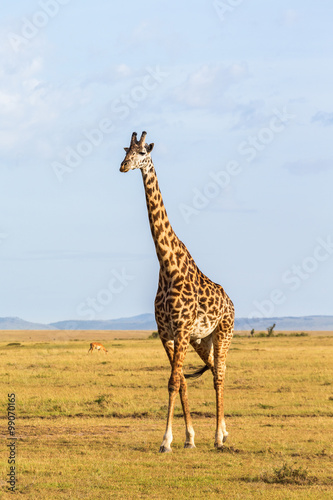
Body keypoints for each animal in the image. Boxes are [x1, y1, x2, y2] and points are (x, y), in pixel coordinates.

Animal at [119, 131, 233, 452]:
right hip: (202, 340)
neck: (168, 265)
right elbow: (179, 381)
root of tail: (231, 302)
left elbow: (173, 381)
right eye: (125, 150)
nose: (123, 166)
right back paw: (221, 433)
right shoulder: (167, 334)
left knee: (220, 376)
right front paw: (188, 437)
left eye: (143, 153)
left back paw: (219, 437)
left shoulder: (181, 330)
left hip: (223, 333)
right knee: (212, 370)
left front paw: (165, 441)